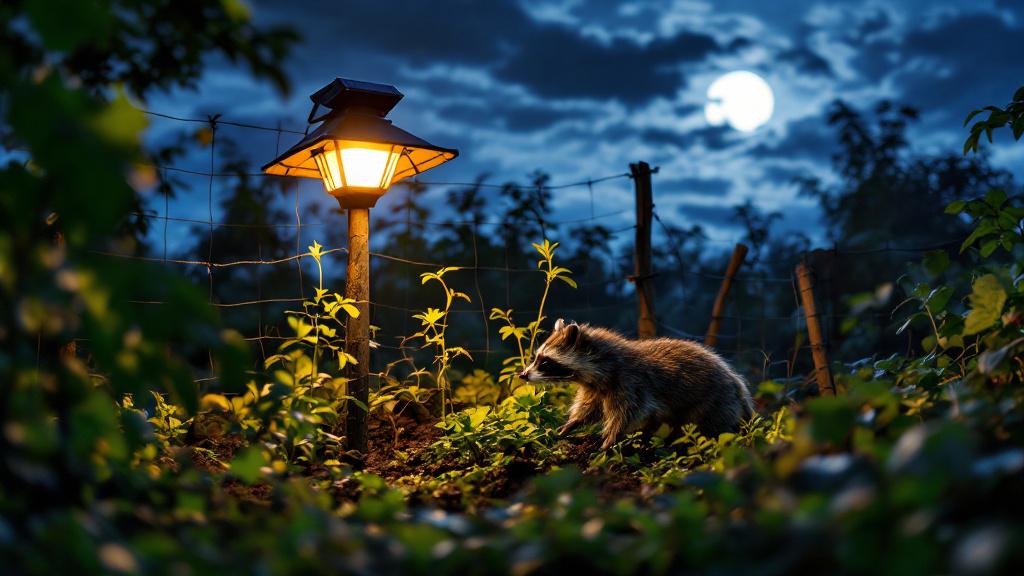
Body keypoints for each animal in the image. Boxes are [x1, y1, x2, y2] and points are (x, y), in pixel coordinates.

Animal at [519, 319, 754, 450]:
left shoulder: (631, 384)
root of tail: (738, 386)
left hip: (716, 401)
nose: (523, 375)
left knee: (711, 427)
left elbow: (626, 413)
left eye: (545, 361)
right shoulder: (595, 389)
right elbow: (589, 409)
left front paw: (610, 437)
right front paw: (572, 423)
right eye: (537, 357)